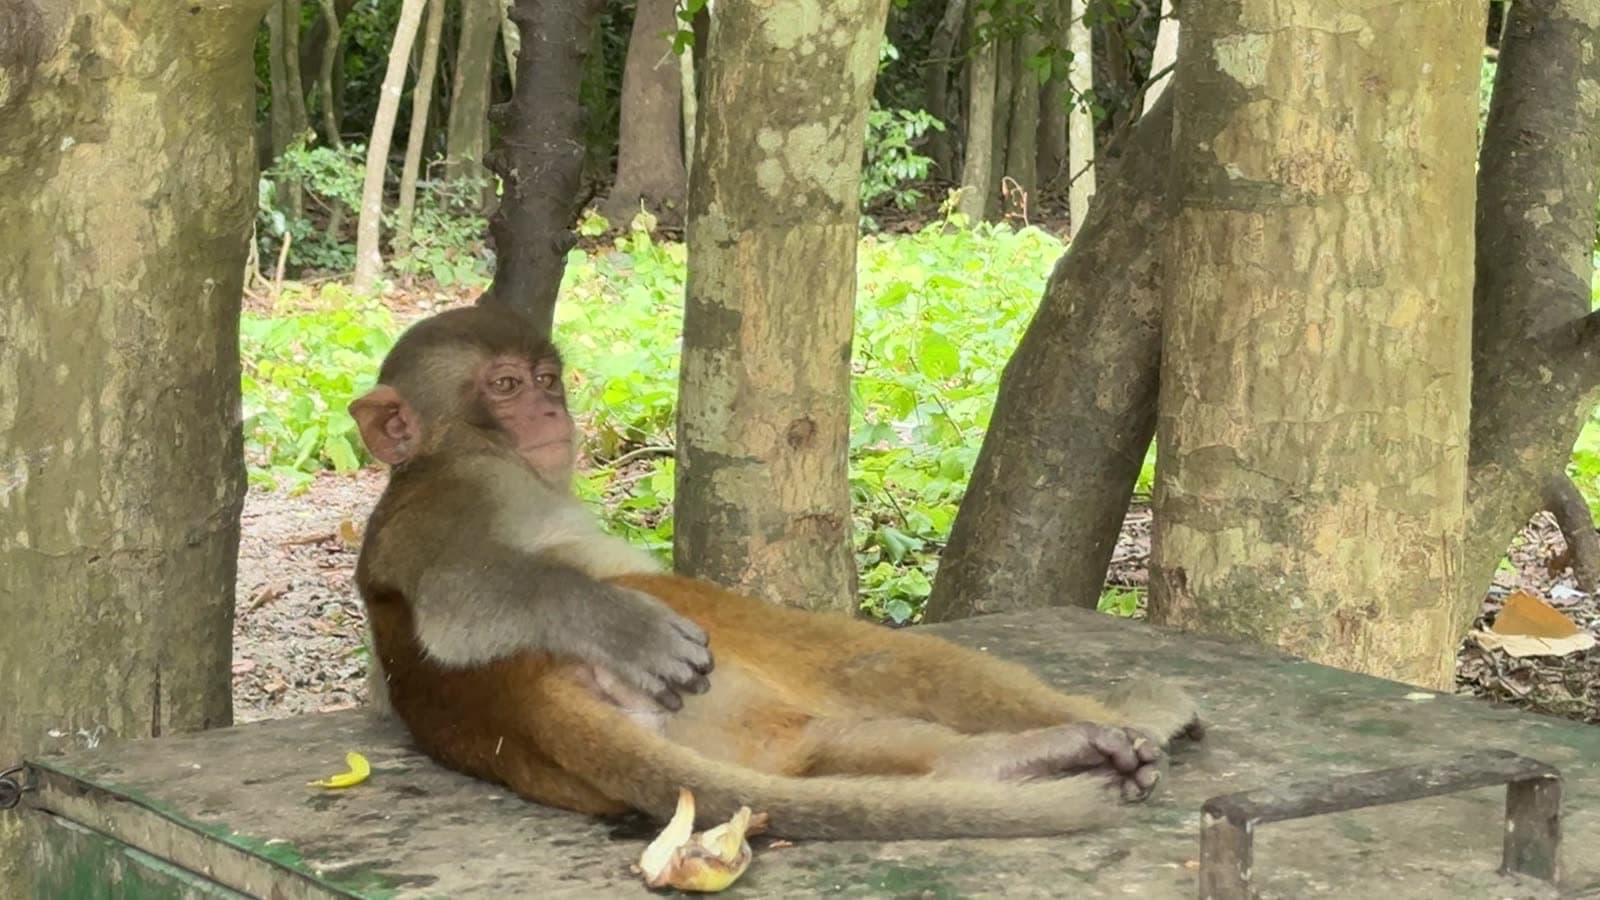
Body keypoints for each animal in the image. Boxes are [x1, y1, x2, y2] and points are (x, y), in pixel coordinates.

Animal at [349, 304, 1206, 841]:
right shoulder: (470, 491)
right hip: (732, 668)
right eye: (504, 386)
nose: (551, 414)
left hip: (730, 724)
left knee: (821, 747)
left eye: (545, 379)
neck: (442, 456)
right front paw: (624, 629)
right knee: (867, 658)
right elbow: (454, 600)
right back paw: (1119, 719)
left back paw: (1013, 760)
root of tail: (517, 704)